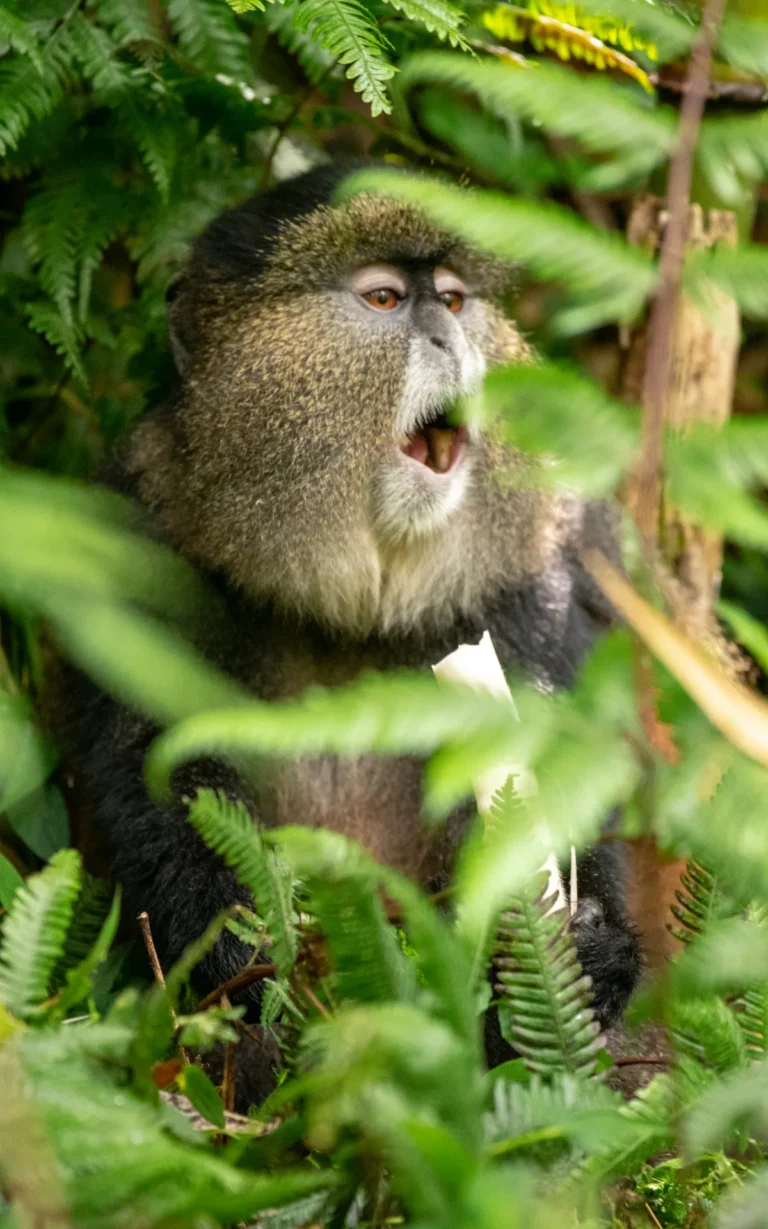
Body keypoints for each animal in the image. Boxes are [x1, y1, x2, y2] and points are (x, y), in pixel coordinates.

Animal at [56, 163, 641, 1095]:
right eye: (384, 299)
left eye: (453, 297)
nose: (449, 337)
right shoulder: (139, 526)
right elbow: (152, 771)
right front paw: (249, 959)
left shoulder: (547, 568)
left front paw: (582, 950)